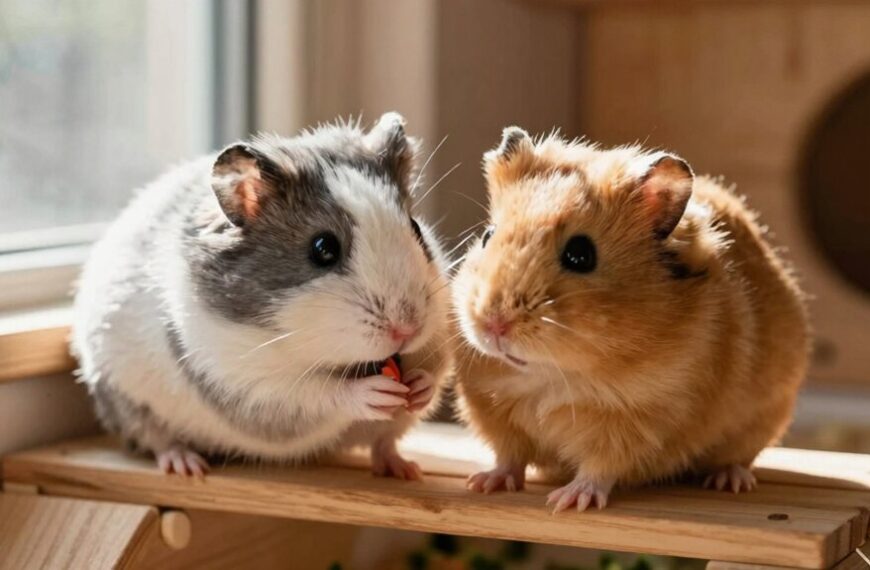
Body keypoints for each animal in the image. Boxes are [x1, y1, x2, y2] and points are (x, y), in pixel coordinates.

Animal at [71, 113, 454, 479]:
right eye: (323, 248)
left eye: (416, 229)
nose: (408, 329)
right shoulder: (248, 385)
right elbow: (319, 394)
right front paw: (375, 392)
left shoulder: (437, 341)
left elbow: (432, 371)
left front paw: (418, 385)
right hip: (129, 402)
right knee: (156, 438)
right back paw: (187, 466)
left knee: (383, 443)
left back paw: (405, 470)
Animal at [453, 127, 809, 511]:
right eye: (487, 237)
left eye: (580, 254)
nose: (493, 324)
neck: (550, 375)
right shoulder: (493, 411)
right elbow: (509, 456)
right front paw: (484, 484)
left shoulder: (636, 421)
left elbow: (599, 467)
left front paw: (568, 502)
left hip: (763, 418)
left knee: (739, 458)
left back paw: (730, 481)